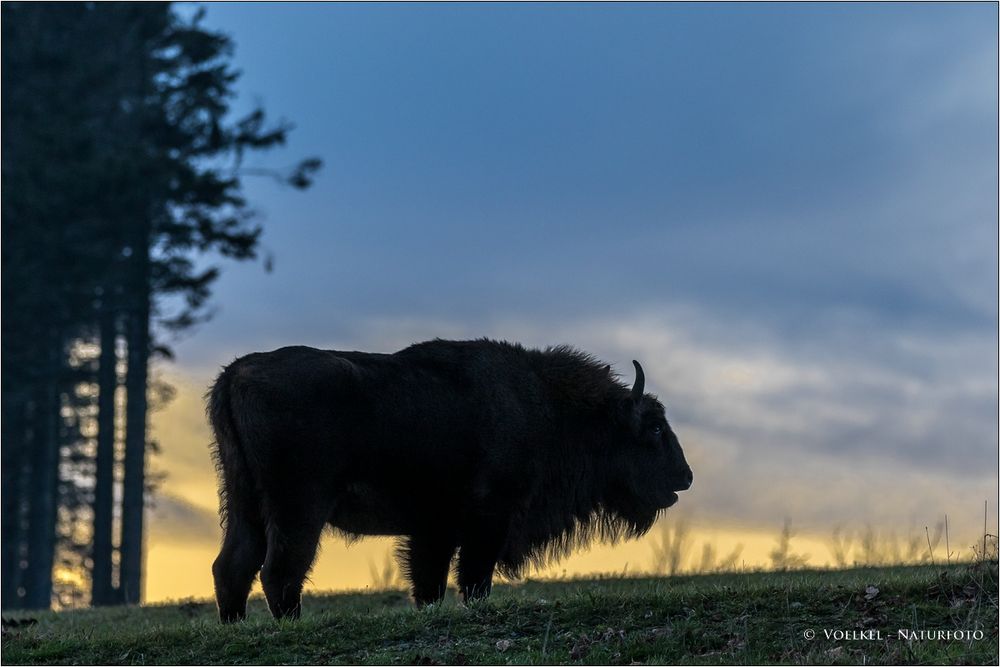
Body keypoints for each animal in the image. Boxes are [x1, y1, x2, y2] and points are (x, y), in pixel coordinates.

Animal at [207, 342, 692, 624]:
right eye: (653, 428)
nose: (685, 477)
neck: (546, 407)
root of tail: (235, 374)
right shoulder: (488, 521)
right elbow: (473, 579)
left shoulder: (433, 530)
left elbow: (430, 585)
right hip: (298, 509)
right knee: (279, 571)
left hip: (245, 503)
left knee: (233, 565)